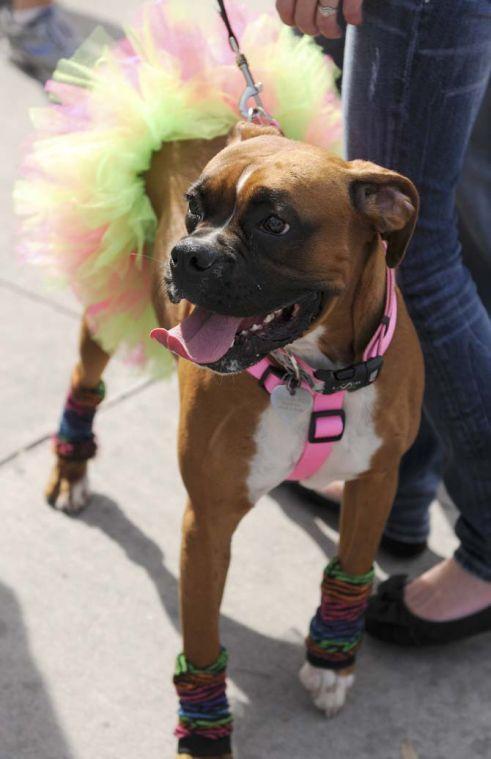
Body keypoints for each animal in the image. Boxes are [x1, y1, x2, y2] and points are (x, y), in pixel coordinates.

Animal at [45, 124, 422, 759]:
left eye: (275, 223)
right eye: (194, 207)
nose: (187, 254)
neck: (311, 378)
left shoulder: (377, 481)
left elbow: (353, 566)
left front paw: (331, 664)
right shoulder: (208, 524)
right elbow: (201, 643)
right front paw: (205, 737)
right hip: (106, 301)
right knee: (84, 375)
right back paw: (72, 471)